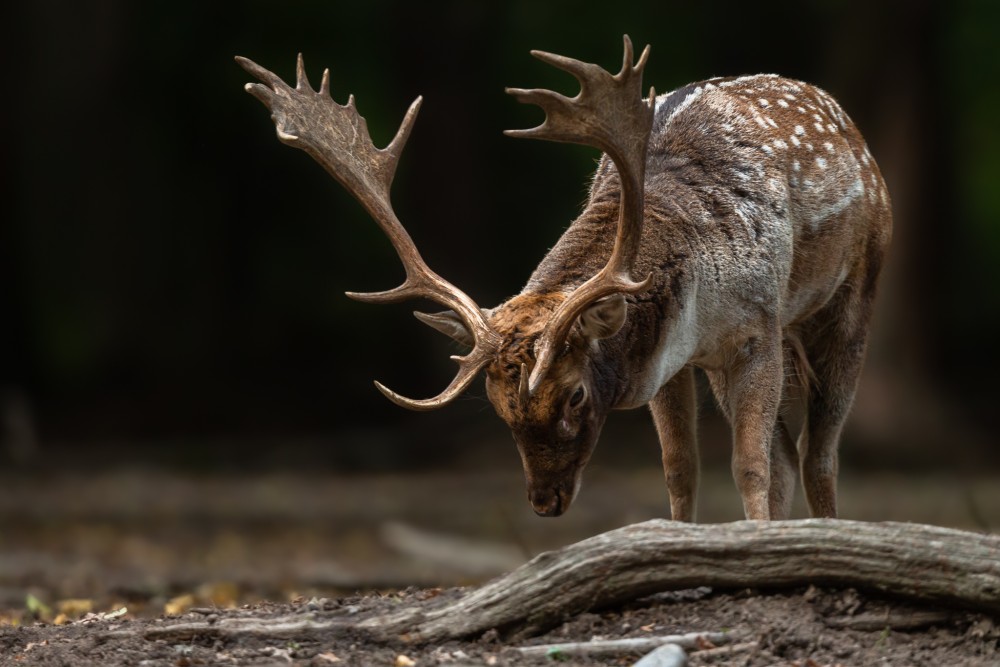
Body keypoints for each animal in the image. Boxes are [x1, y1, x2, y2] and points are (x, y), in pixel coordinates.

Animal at [240, 36, 892, 524]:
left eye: (575, 394)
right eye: (497, 406)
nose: (546, 503)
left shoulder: (756, 327)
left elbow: (751, 466)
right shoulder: (673, 358)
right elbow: (681, 470)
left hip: (852, 296)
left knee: (817, 455)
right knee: (788, 453)